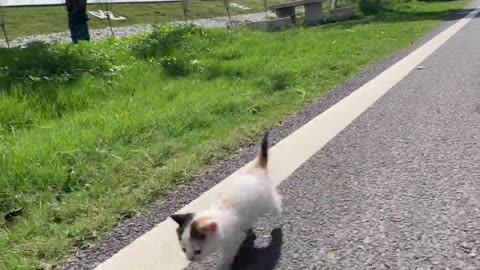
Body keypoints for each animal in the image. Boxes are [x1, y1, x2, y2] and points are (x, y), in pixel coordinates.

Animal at [170, 130, 282, 268]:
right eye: (184, 249)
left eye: (197, 251)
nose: (190, 259)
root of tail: (256, 170)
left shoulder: (231, 241)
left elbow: (228, 254)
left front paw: (222, 265)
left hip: (265, 201)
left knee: (274, 200)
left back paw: (278, 211)